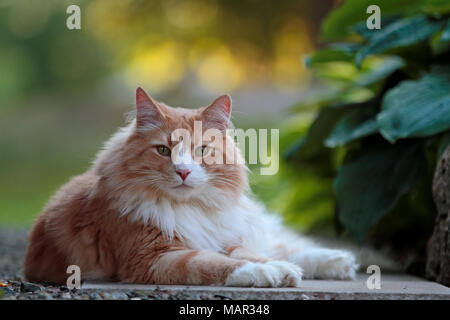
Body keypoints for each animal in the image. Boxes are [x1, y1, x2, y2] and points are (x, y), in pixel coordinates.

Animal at [23, 88, 358, 288]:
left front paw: (282, 271)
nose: (183, 171)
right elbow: (216, 263)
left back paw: (340, 261)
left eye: (201, 150)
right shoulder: (155, 258)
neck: (188, 209)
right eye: (163, 150)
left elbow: (252, 254)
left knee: (283, 245)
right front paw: (267, 273)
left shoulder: (226, 238)